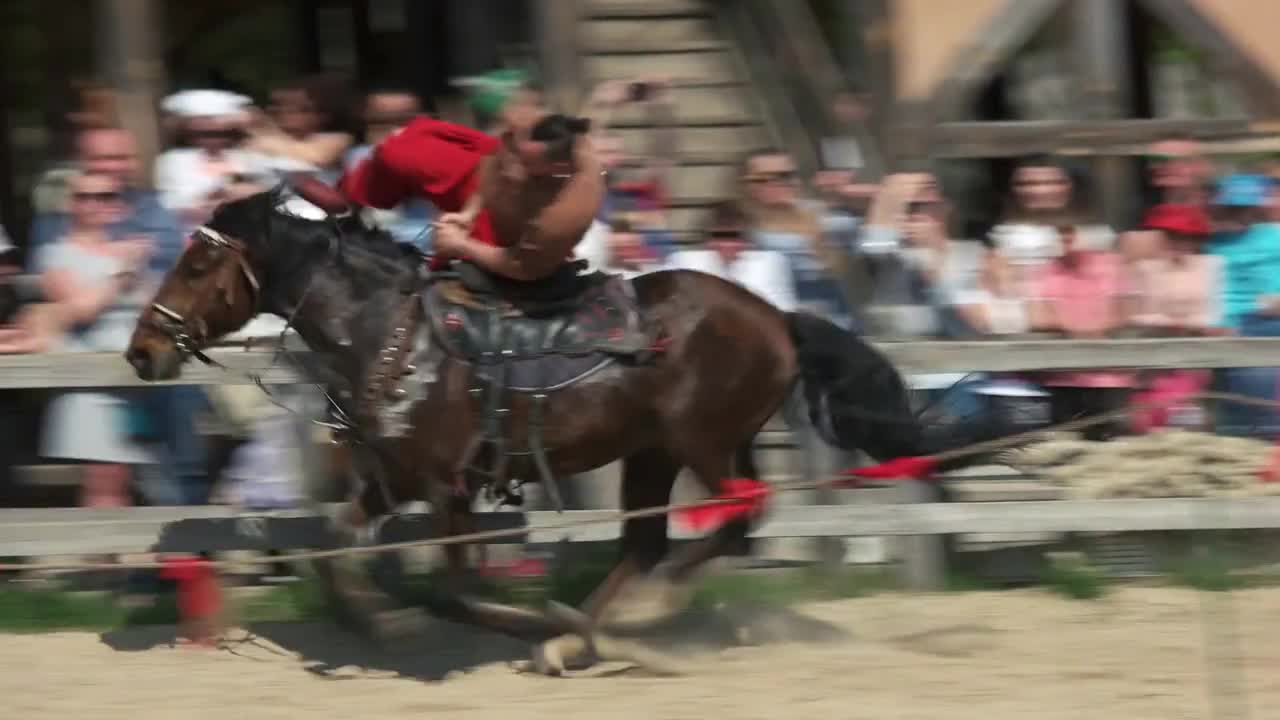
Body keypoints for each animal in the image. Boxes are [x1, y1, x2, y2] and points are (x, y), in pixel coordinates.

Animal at [127, 188, 967, 671]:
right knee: (649, 542)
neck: (391, 335)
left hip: (702, 440)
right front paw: (383, 625)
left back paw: (630, 619)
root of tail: (776, 316)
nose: (142, 350)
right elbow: (336, 550)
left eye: (198, 263)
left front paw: (508, 623)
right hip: (655, 451)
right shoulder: (390, 479)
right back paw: (586, 633)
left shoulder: (447, 486)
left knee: (735, 513)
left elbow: (455, 592)